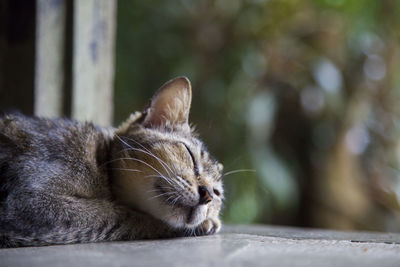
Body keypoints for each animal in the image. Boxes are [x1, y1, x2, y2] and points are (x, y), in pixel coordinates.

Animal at [0, 76, 225, 248]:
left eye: (217, 193)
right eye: (190, 156)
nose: (207, 194)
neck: (100, 162)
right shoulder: (30, 202)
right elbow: (126, 215)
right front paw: (205, 224)